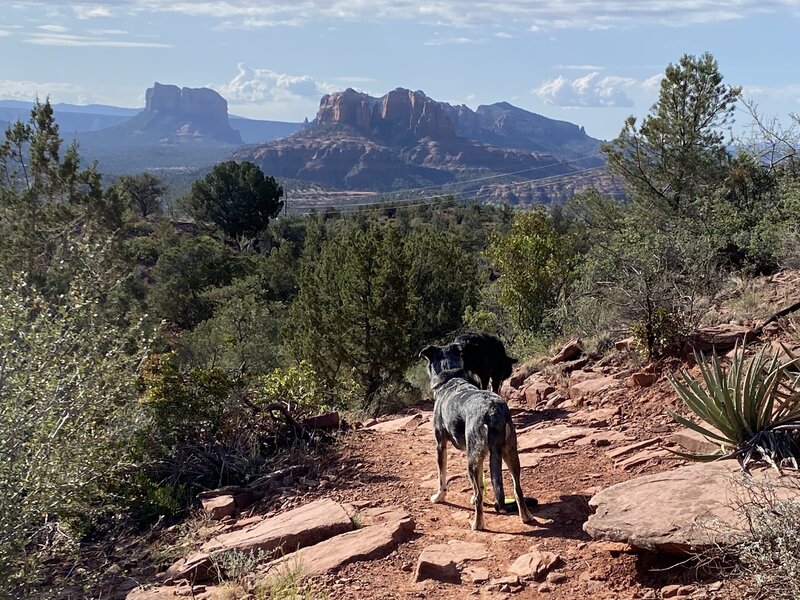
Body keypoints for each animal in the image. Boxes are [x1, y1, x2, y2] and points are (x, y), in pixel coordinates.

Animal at [418, 342, 536, 528]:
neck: (450, 374)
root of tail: (493, 410)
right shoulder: (479, 453)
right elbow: (480, 483)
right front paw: (473, 495)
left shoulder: (440, 445)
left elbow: (441, 478)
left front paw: (439, 497)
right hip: (509, 452)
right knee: (517, 488)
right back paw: (526, 517)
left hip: (471, 460)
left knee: (482, 497)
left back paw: (477, 524)